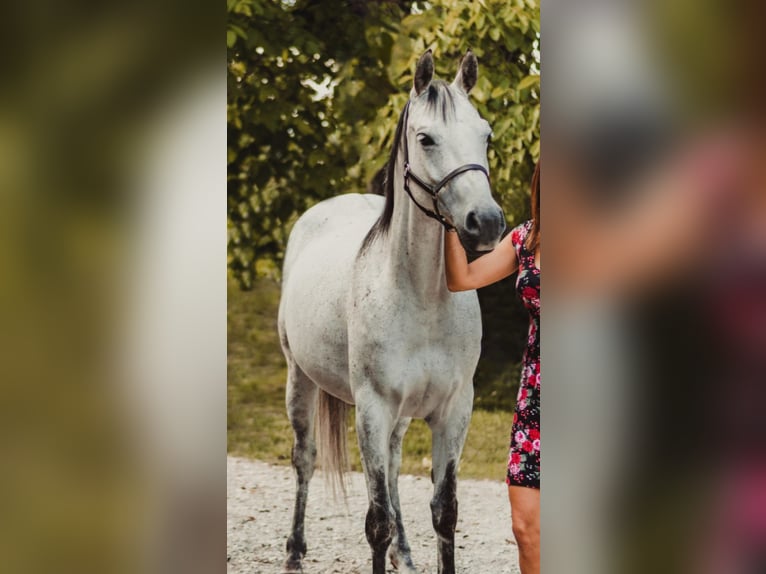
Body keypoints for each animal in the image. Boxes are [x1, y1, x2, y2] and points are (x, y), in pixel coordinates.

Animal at [280, 50, 508, 574]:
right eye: (426, 139)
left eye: (486, 134)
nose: (486, 223)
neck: (422, 299)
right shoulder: (373, 409)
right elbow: (376, 520)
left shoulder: (454, 410)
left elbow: (445, 512)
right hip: (298, 377)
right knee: (305, 457)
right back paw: (296, 550)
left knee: (395, 463)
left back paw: (404, 552)